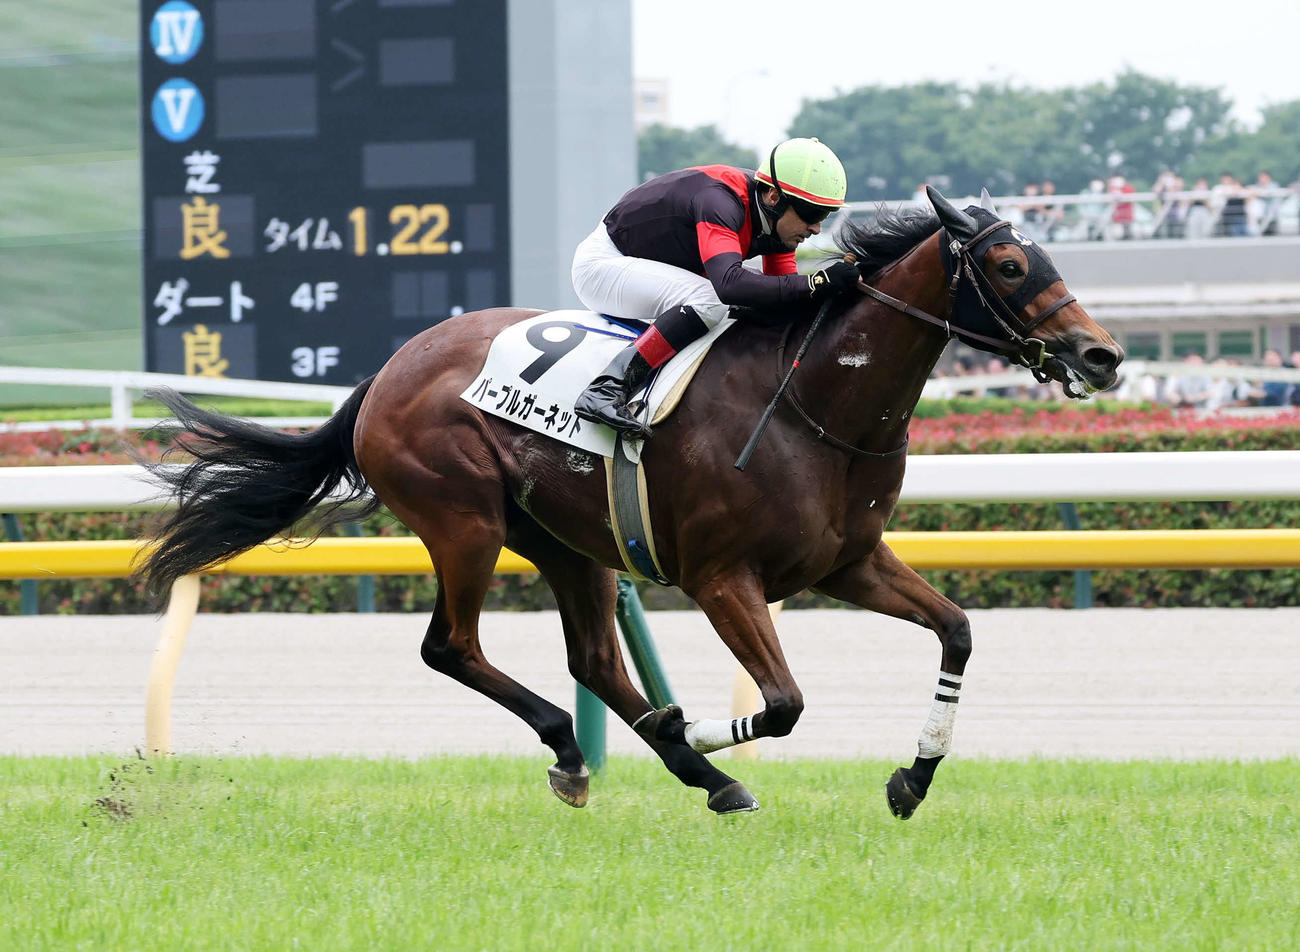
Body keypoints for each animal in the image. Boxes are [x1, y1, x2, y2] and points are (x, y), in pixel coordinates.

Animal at [137, 188, 1122, 818]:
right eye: (1009, 262)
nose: (1103, 355)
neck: (816, 401)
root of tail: (388, 370)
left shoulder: (847, 562)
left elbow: (956, 630)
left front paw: (911, 780)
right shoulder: (724, 577)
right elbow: (784, 704)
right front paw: (697, 727)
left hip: (566, 542)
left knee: (592, 660)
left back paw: (679, 771)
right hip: (464, 520)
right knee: (452, 646)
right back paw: (615, 751)